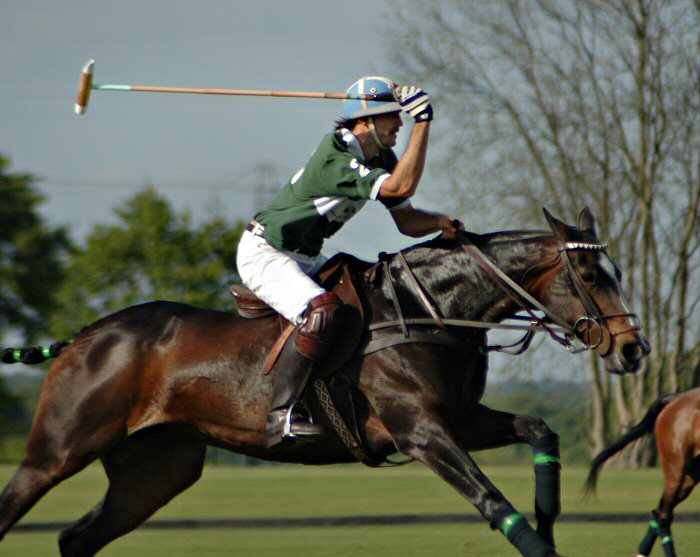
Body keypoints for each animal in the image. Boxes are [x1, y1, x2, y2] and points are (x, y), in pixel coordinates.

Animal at [0, 206, 652, 552]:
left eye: (615, 270)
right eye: (591, 274)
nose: (634, 349)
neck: (425, 310)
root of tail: (85, 334)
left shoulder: (461, 420)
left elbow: (540, 431)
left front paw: (551, 513)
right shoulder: (420, 431)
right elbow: (492, 500)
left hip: (157, 470)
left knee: (76, 539)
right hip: (58, 450)